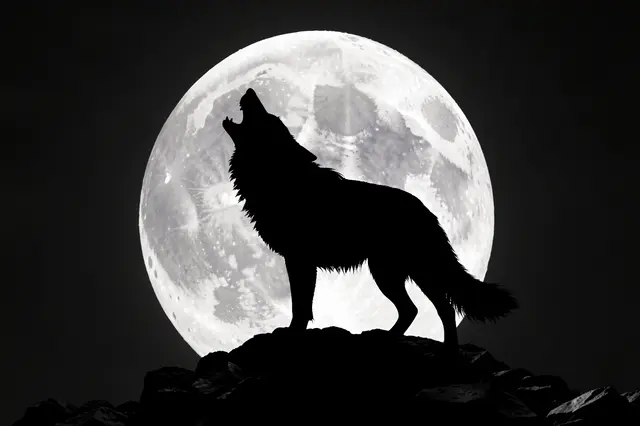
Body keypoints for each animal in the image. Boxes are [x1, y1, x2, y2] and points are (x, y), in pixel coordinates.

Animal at [222, 88, 518, 352]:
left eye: (269, 118)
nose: (250, 90)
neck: (280, 179)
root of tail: (429, 213)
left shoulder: (300, 260)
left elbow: (301, 306)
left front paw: (293, 333)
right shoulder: (298, 260)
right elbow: (302, 305)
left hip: (400, 273)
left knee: (439, 308)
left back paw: (445, 349)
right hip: (396, 273)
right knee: (417, 309)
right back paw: (390, 338)